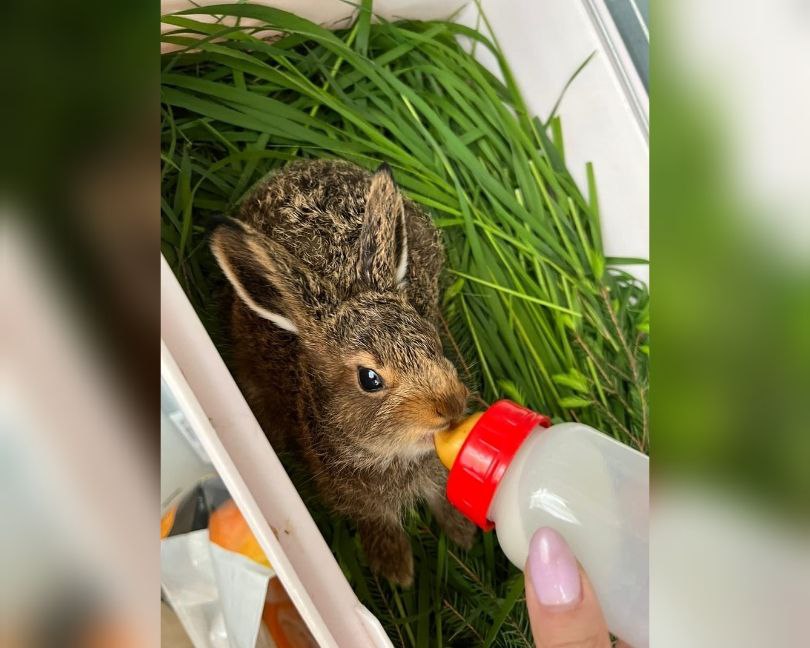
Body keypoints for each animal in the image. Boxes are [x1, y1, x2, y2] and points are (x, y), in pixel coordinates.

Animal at [210, 159, 474, 584]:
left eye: (431, 337)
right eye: (370, 379)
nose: (450, 406)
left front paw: (462, 533)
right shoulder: (356, 499)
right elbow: (378, 522)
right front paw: (396, 568)